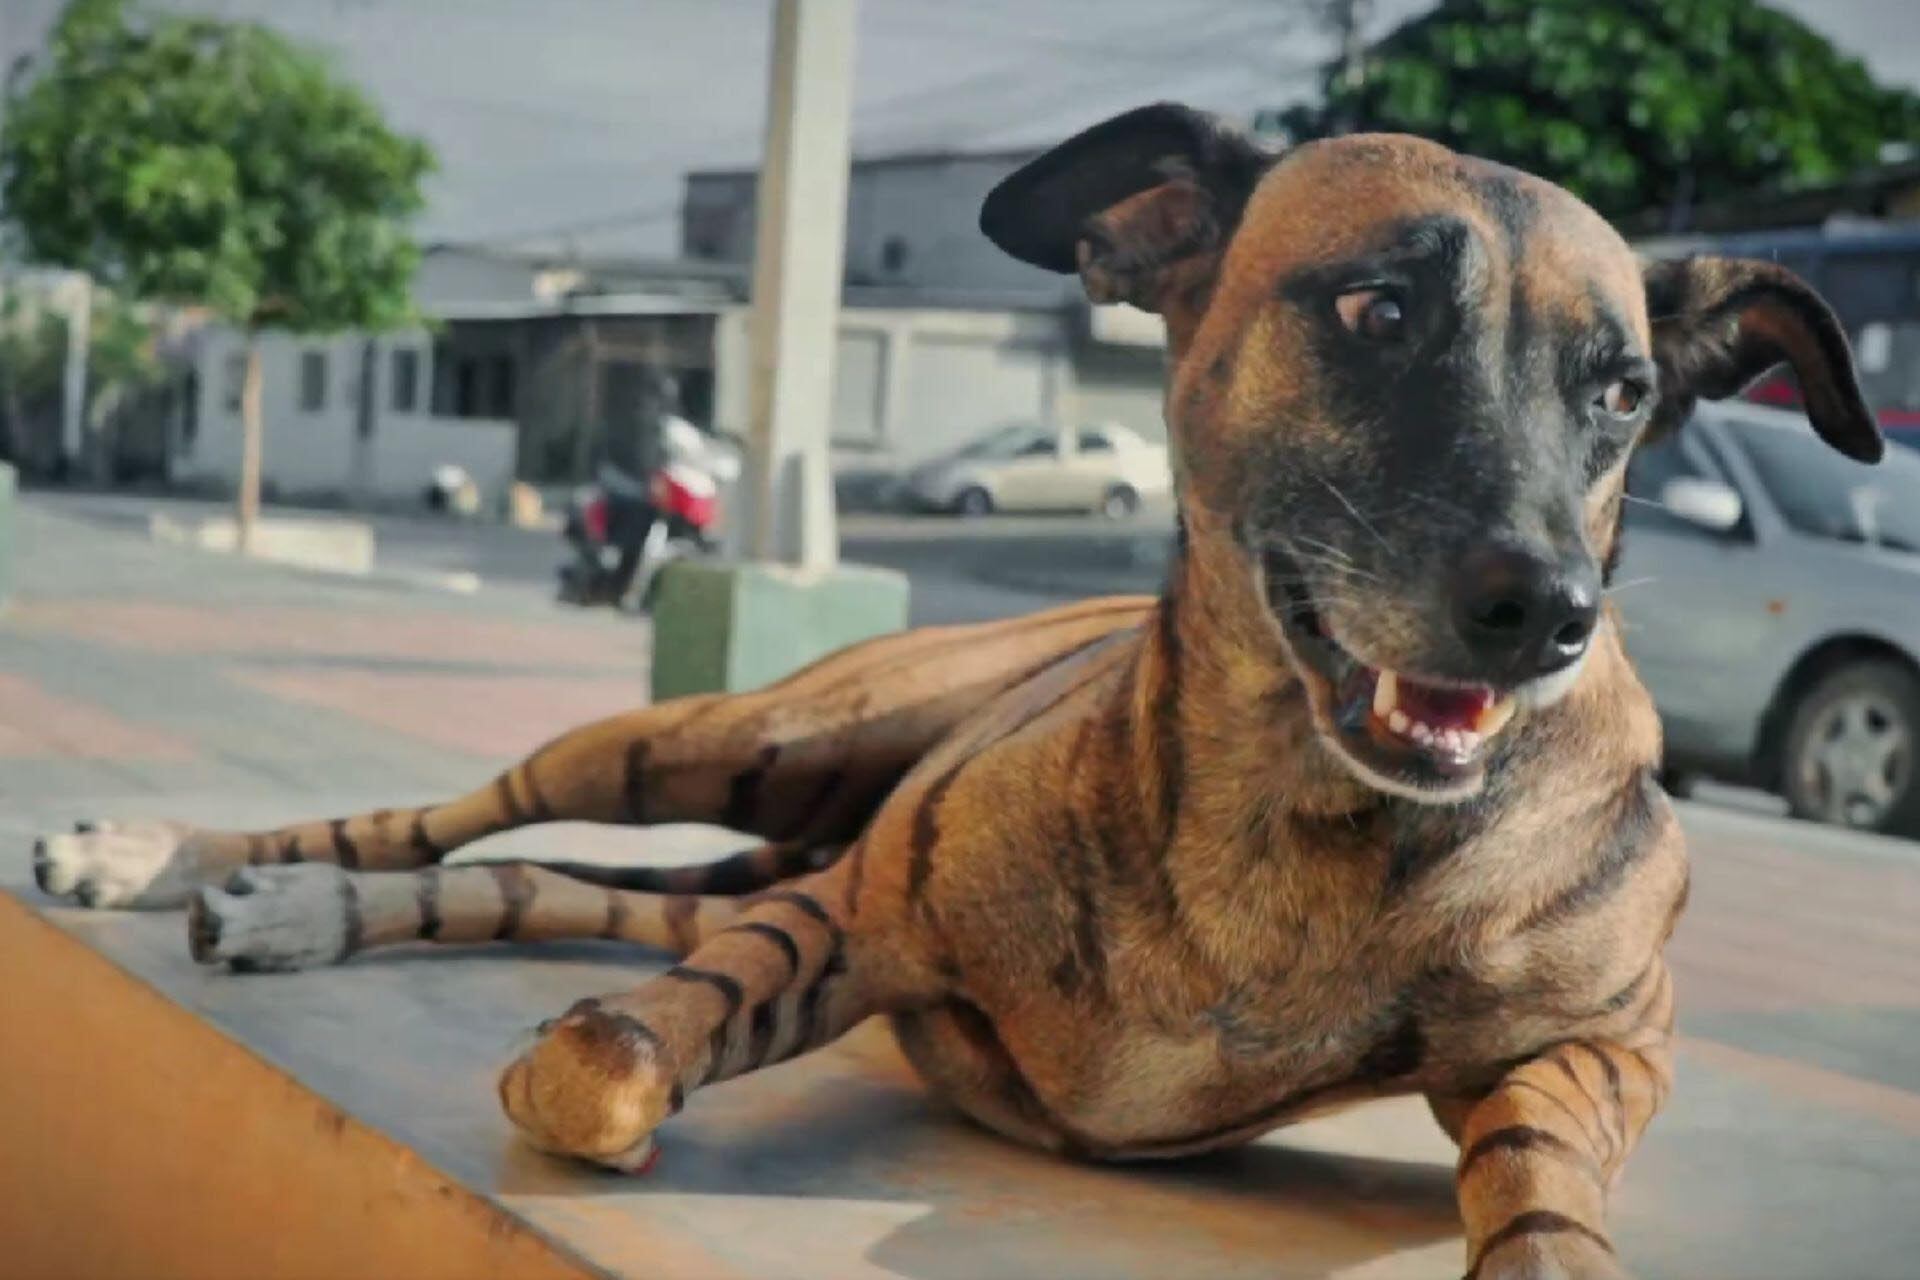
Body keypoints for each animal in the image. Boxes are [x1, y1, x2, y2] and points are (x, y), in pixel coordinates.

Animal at [37, 105, 1881, 1274]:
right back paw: (199, 865)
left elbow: (1544, 1204)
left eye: (1623, 389)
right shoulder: (861, 913)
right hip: (728, 744)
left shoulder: (1600, 1048)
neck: (1298, 821)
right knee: (459, 821)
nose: (1546, 611)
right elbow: (600, 1065)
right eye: (1378, 307)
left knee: (555, 884)